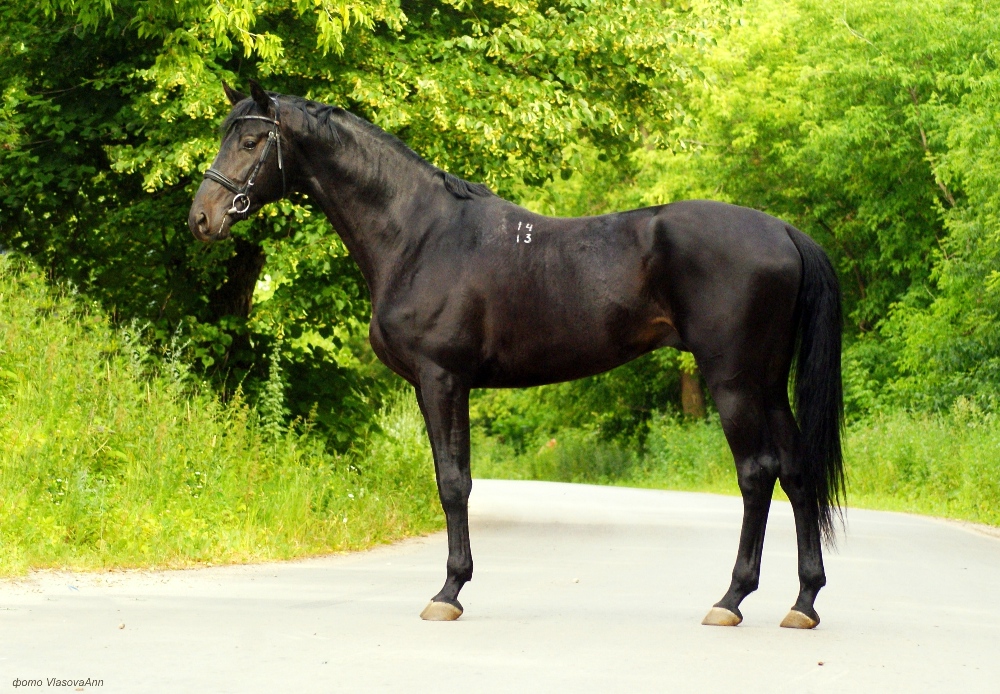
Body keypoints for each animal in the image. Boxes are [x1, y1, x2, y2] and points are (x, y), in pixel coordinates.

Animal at [189, 81, 844, 632]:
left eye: (251, 140)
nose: (202, 218)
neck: (419, 235)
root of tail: (784, 232)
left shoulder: (441, 378)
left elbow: (453, 482)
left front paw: (448, 592)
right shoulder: (445, 383)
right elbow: (455, 478)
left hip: (732, 380)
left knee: (757, 473)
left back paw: (731, 600)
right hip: (767, 382)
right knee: (797, 471)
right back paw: (804, 602)